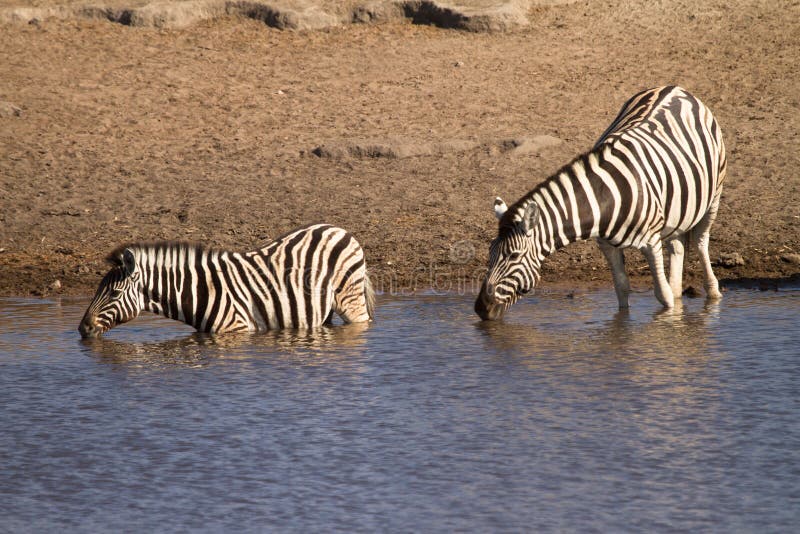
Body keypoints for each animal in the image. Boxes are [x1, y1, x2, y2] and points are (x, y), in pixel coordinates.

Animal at [78, 224, 376, 338]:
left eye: (114, 294)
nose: (82, 329)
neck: (197, 291)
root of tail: (340, 230)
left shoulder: (237, 328)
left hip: (350, 301)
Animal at [472, 86, 728, 320]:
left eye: (514, 256)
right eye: (490, 252)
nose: (481, 308)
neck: (606, 198)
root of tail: (674, 87)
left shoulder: (651, 243)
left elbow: (662, 295)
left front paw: (667, 321)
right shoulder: (606, 245)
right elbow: (621, 289)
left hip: (714, 195)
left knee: (701, 241)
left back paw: (713, 293)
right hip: (677, 210)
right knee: (677, 246)